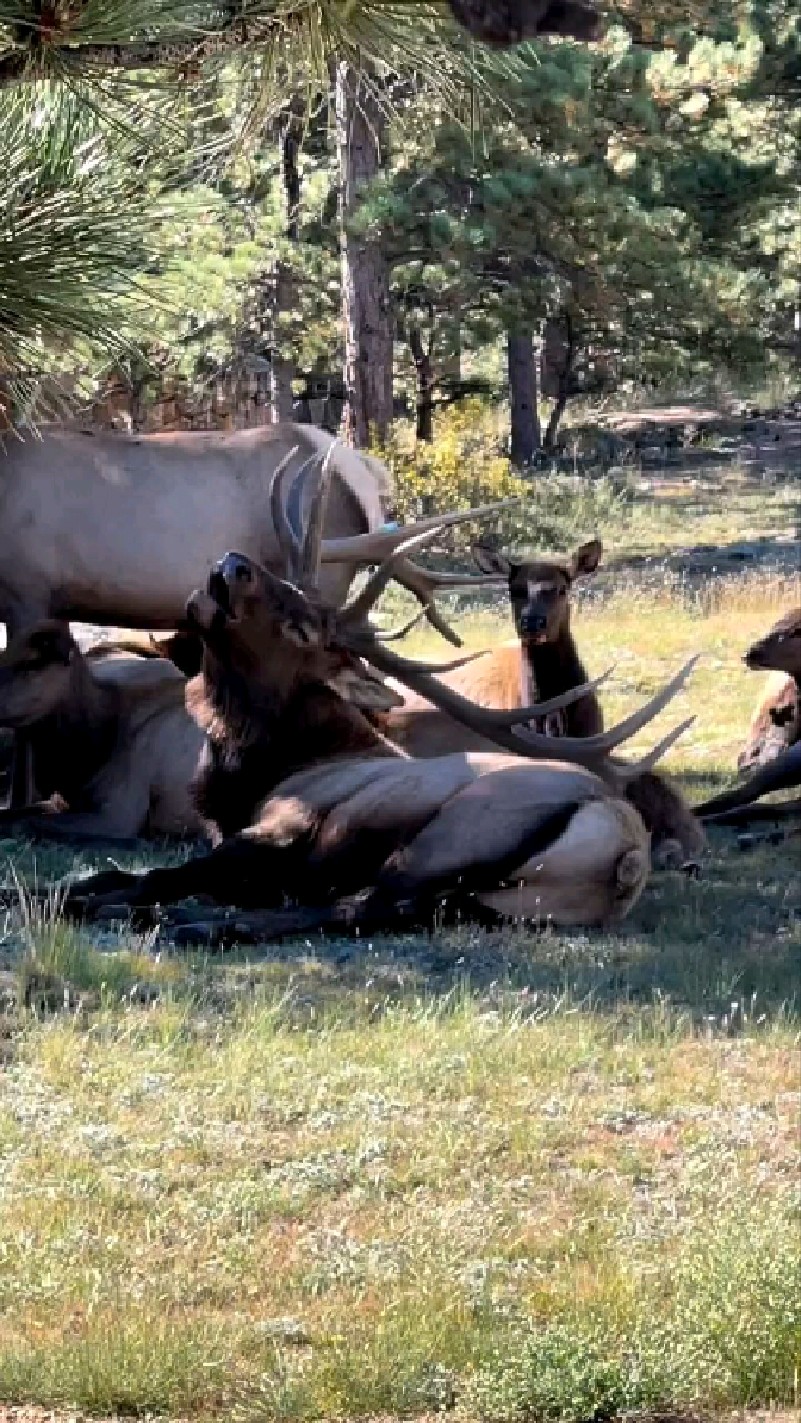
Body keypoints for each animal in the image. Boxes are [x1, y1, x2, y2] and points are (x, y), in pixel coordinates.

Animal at [65, 455, 698, 943]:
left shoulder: (280, 830)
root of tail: (627, 856)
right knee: (386, 910)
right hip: (484, 899)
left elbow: (157, 875)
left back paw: (194, 926)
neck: (244, 777)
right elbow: (119, 875)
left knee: (365, 906)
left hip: (451, 840)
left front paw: (96, 900)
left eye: (304, 629)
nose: (233, 563)